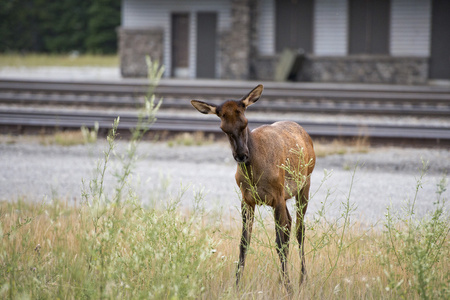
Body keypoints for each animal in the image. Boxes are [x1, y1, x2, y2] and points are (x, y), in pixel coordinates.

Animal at [191, 85, 316, 292]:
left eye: (245, 122)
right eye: (223, 128)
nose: (241, 155)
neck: (256, 174)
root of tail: (304, 132)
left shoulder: (277, 197)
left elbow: (279, 242)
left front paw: (289, 288)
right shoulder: (247, 199)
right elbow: (244, 242)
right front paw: (236, 284)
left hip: (304, 183)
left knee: (300, 229)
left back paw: (302, 279)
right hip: (286, 196)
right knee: (290, 224)